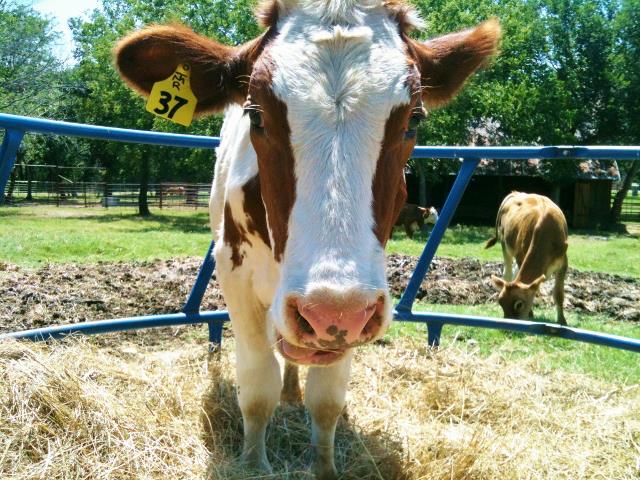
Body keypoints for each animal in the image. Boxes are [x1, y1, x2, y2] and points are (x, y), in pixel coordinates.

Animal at [114, 2, 500, 476]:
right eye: (256, 114)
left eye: (414, 119)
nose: (332, 313)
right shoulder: (235, 278)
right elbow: (257, 385)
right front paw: (254, 462)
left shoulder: (363, 303)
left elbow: (327, 399)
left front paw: (324, 464)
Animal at [484, 192, 568, 326]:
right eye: (501, 302)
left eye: (519, 305)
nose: (507, 325)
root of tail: (515, 193)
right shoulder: (520, 256)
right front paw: (530, 314)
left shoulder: (563, 262)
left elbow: (558, 294)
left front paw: (562, 321)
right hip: (505, 244)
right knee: (508, 272)